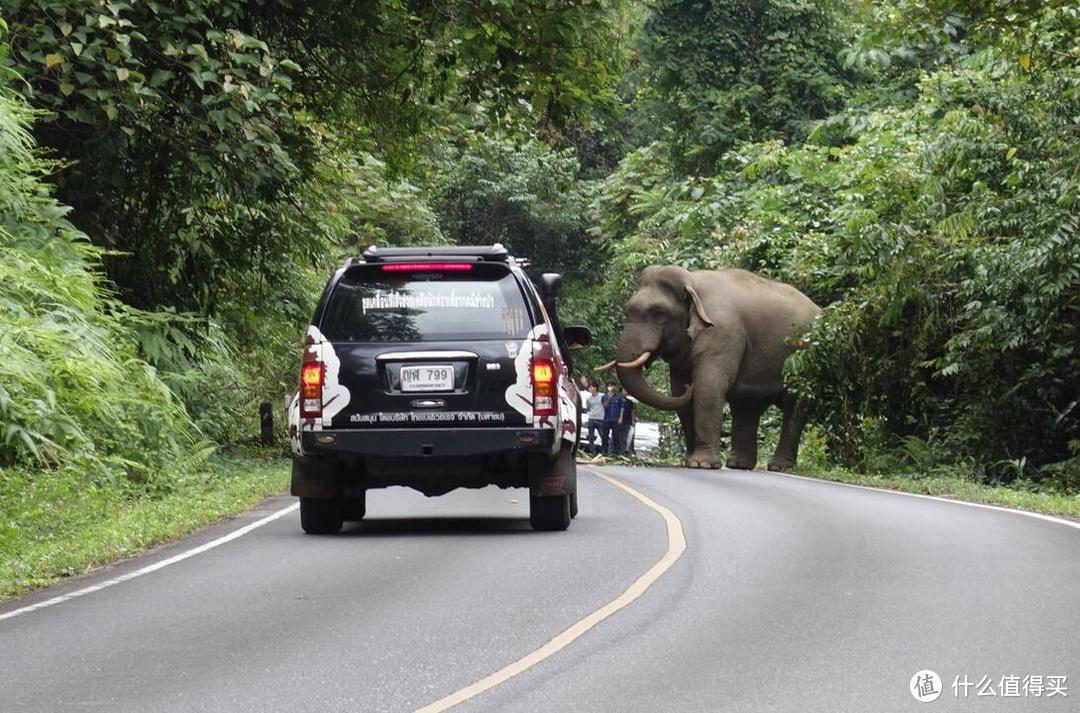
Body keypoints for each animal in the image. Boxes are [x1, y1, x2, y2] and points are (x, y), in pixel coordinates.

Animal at [600, 264, 816, 471]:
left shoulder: (722, 335)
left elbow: (708, 389)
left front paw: (702, 464)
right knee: (747, 407)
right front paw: (688, 462)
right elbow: (679, 393)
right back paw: (738, 465)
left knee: (793, 405)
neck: (693, 280)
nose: (689, 386)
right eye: (627, 310)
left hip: (803, 362)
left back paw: (778, 467)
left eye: (659, 313)